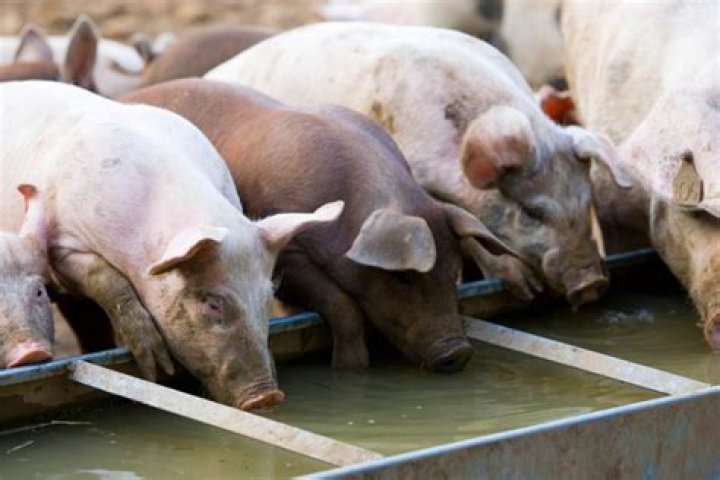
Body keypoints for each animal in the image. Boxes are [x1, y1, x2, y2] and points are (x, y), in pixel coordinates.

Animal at [120, 78, 517, 371]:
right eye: (401, 278)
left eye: (454, 272)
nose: (458, 352)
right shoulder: (286, 250)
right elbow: (340, 302)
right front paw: (351, 367)